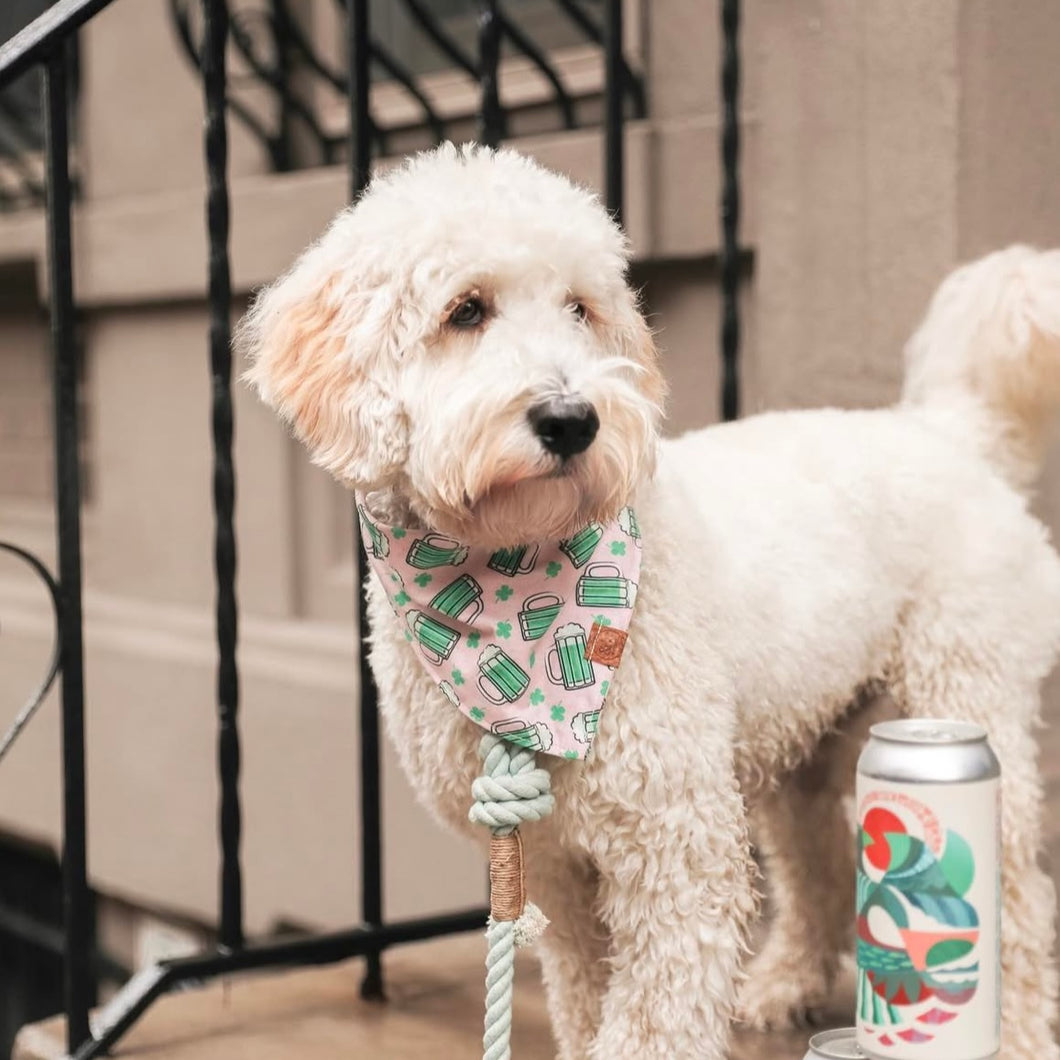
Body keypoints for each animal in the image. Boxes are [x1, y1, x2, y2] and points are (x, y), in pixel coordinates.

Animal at [240, 143, 1060, 1060]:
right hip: (801, 742)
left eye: (581, 309)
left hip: (965, 690)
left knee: (1019, 901)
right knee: (814, 858)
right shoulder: (555, 866)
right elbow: (583, 997)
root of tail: (951, 435)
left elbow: (650, 1022)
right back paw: (785, 983)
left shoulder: (673, 843)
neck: (510, 595)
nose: (572, 419)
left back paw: (1019, 1034)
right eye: (465, 310)